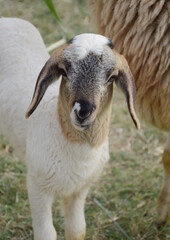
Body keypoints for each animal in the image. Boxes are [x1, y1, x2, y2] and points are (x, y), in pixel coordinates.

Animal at [0, 18, 140, 240]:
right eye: (64, 72)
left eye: (111, 77)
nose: (83, 111)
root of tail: (8, 19)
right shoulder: (37, 185)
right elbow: (46, 233)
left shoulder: (80, 189)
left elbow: (77, 229)